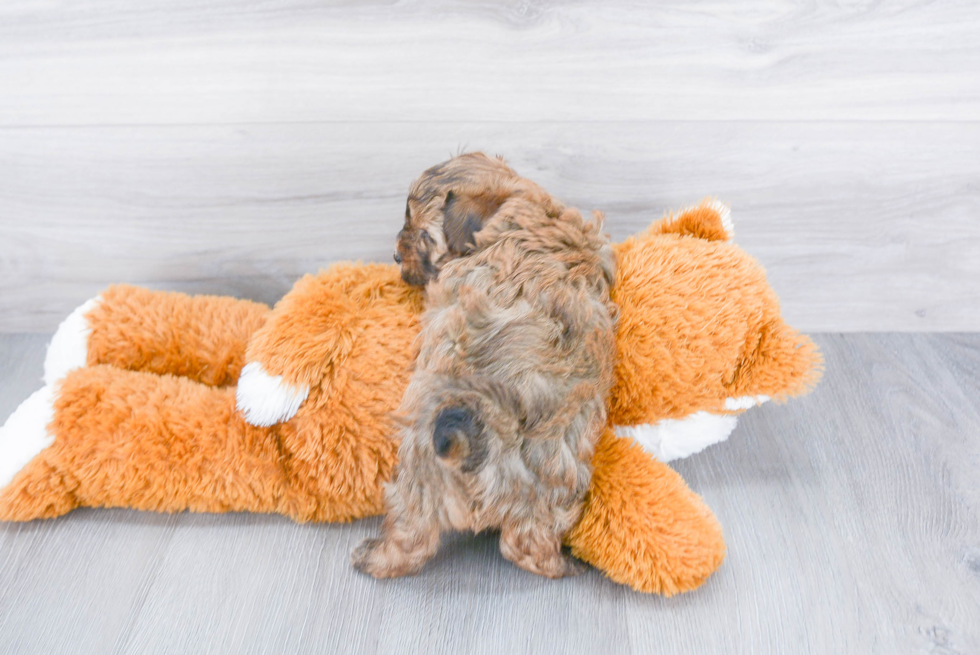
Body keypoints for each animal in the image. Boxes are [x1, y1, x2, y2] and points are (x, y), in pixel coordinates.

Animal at [352, 154, 616, 580]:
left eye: (419, 234)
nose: (394, 255)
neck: (525, 207)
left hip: (418, 466)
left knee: (410, 530)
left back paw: (376, 557)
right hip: (554, 485)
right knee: (528, 544)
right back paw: (562, 565)